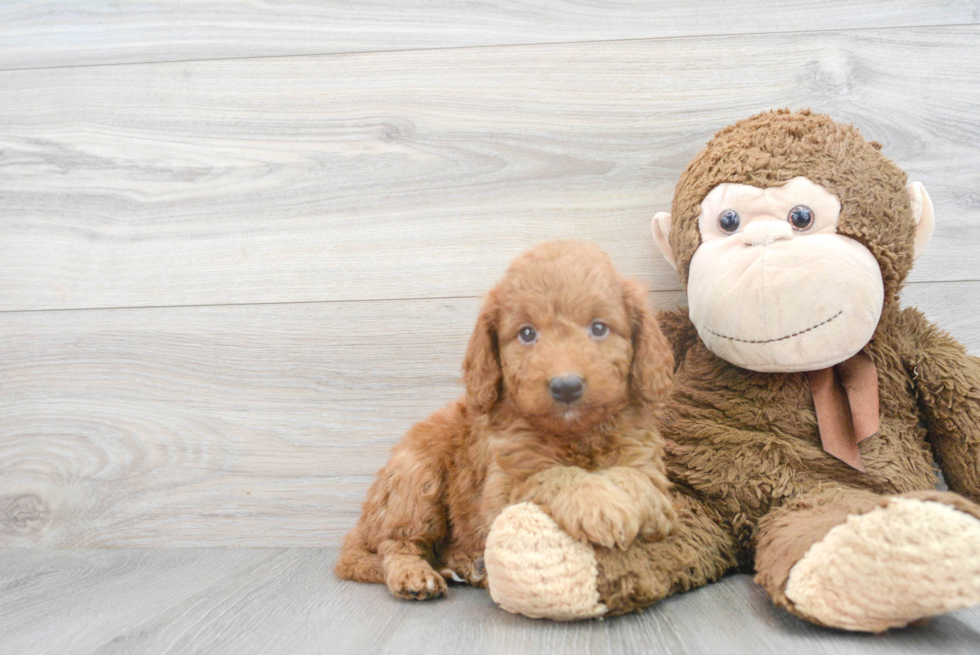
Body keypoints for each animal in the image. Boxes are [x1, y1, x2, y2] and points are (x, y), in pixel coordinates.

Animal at [334, 240, 672, 600]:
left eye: (598, 327)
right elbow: (552, 475)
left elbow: (641, 482)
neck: (575, 434)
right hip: (415, 480)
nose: (566, 386)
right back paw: (414, 574)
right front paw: (598, 504)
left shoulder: (646, 461)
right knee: (395, 542)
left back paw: (471, 566)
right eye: (527, 333)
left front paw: (632, 504)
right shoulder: (503, 489)